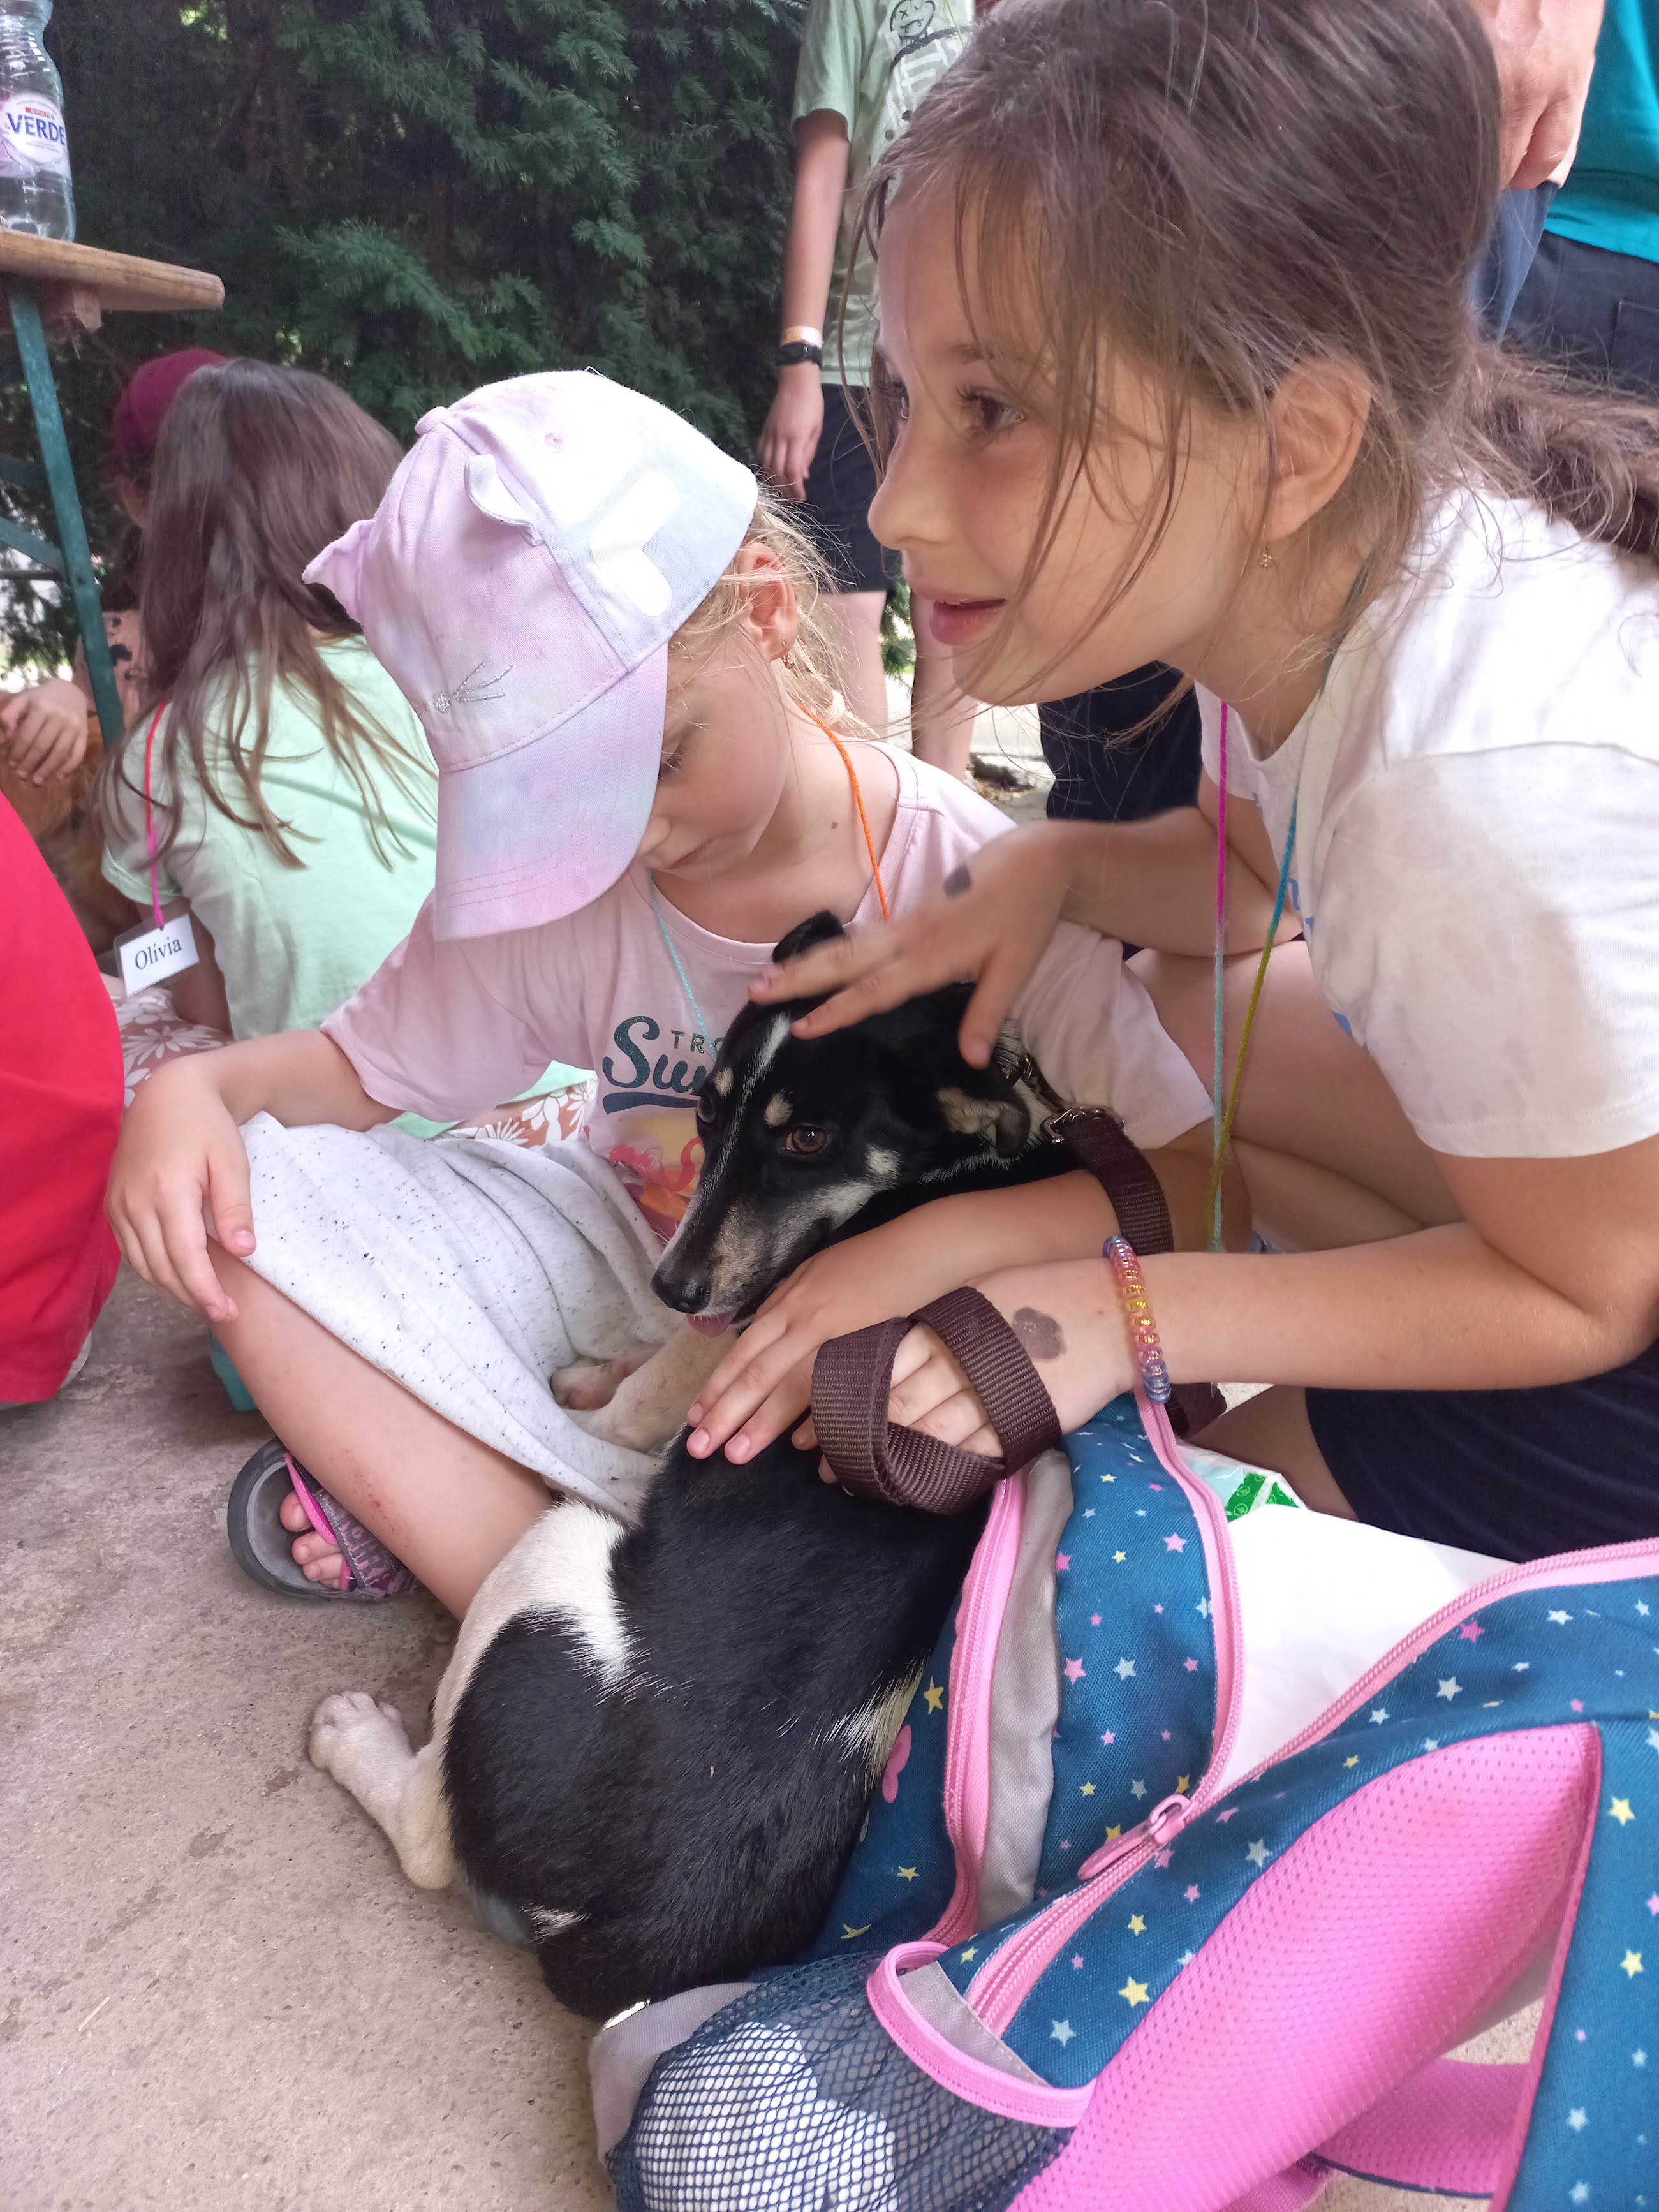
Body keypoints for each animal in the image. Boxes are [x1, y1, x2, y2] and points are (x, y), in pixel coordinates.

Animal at [308, 914, 1089, 2019]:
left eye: (807, 1138)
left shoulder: (749, 1329)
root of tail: (644, 1928)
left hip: (551, 1562)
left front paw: (594, 1400)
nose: (669, 1283)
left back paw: (355, 1739)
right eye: (708, 1114)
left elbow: (657, 1387)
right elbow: (660, 1360)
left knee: (428, 1837)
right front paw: (604, 1365)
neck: (940, 1177)